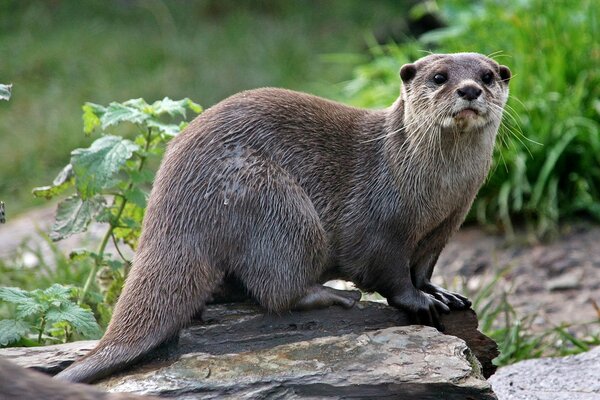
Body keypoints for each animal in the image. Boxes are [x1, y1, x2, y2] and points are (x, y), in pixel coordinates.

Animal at [55, 51, 510, 382]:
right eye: (439, 77)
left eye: (488, 75)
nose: (470, 89)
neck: (433, 187)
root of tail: (170, 207)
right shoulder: (383, 225)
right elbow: (392, 274)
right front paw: (419, 301)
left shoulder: (445, 225)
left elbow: (423, 268)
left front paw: (441, 293)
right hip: (274, 203)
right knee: (277, 290)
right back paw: (334, 296)